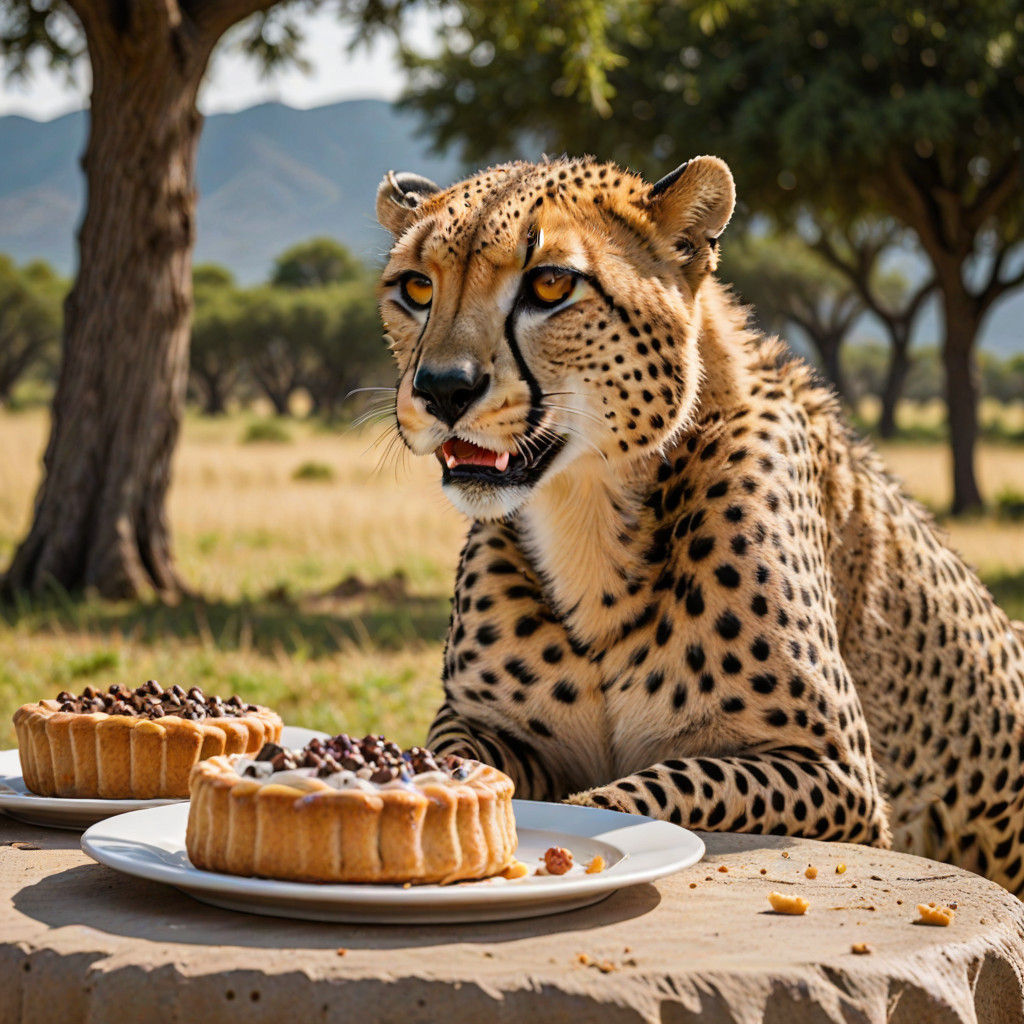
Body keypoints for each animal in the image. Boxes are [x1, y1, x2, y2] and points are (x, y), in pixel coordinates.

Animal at [374, 155, 1024, 895]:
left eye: (550, 284)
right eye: (417, 287)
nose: (441, 389)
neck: (589, 513)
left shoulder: (836, 773)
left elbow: (634, 792)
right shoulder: (474, 719)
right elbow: (452, 756)